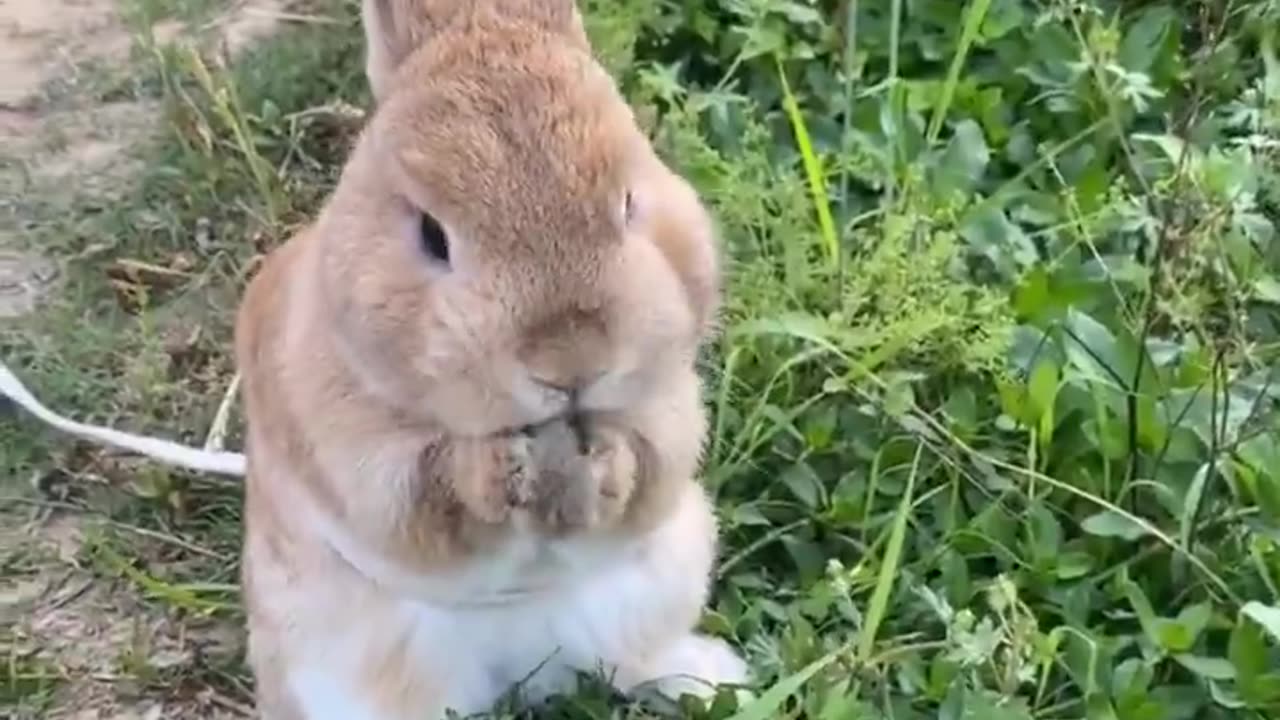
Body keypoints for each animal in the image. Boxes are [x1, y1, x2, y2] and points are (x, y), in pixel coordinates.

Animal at [232, 1, 748, 718]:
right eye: (431, 234)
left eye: (628, 203)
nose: (571, 364)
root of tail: (527, 671)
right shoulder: (360, 465)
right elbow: (430, 495)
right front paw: (501, 469)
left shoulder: (669, 417)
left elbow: (649, 465)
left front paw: (599, 461)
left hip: (675, 562)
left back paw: (715, 677)